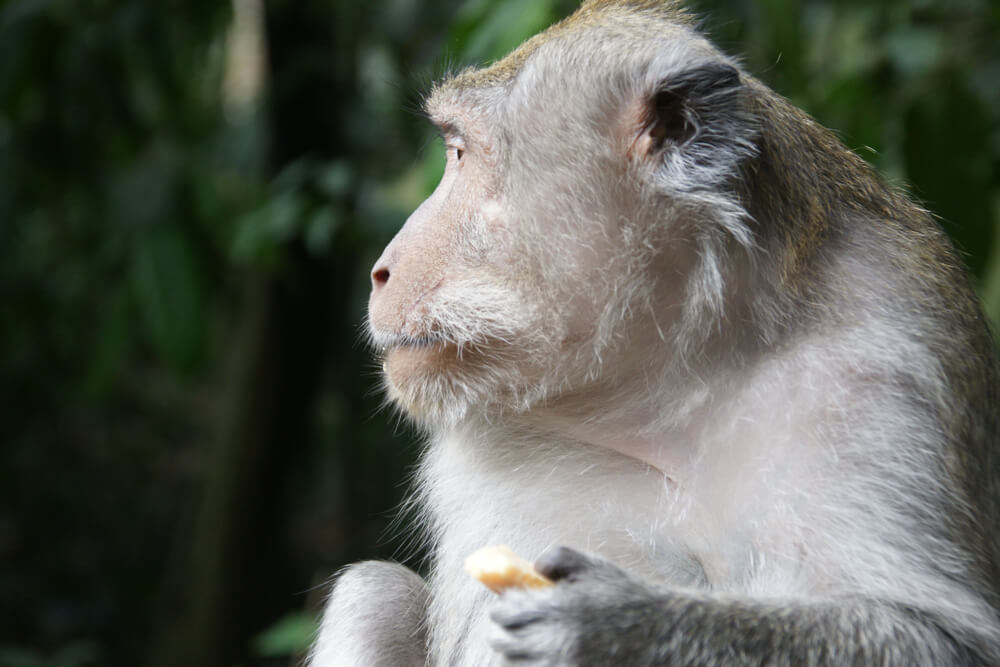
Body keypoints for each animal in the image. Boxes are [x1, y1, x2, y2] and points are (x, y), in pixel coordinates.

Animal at [309, 1, 1000, 664]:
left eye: (458, 152)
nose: (380, 270)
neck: (679, 374)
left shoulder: (890, 360)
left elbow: (940, 637)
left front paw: (615, 622)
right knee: (375, 591)